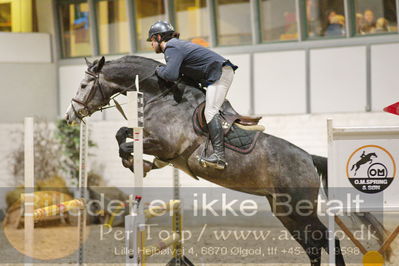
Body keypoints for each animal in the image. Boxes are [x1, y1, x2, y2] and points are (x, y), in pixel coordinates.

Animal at [65, 55, 390, 264]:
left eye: (82, 85)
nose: (69, 115)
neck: (162, 96)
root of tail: (310, 158)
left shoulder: (165, 144)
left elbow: (125, 140)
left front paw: (136, 163)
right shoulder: (162, 146)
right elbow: (122, 134)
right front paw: (141, 164)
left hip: (301, 208)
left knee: (327, 241)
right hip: (285, 210)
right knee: (312, 245)